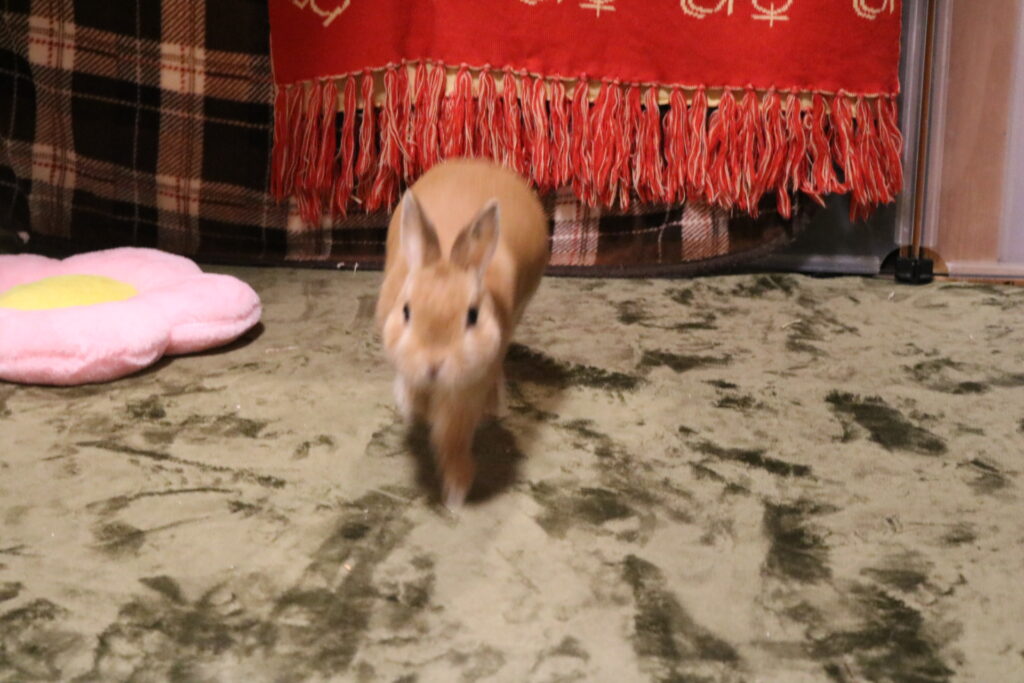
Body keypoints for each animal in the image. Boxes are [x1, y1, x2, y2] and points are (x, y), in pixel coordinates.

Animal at [376, 158, 550, 508]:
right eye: (406, 311)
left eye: (473, 316)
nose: (433, 365)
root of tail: (478, 163)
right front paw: (412, 407)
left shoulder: (468, 387)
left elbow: (453, 434)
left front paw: (456, 489)